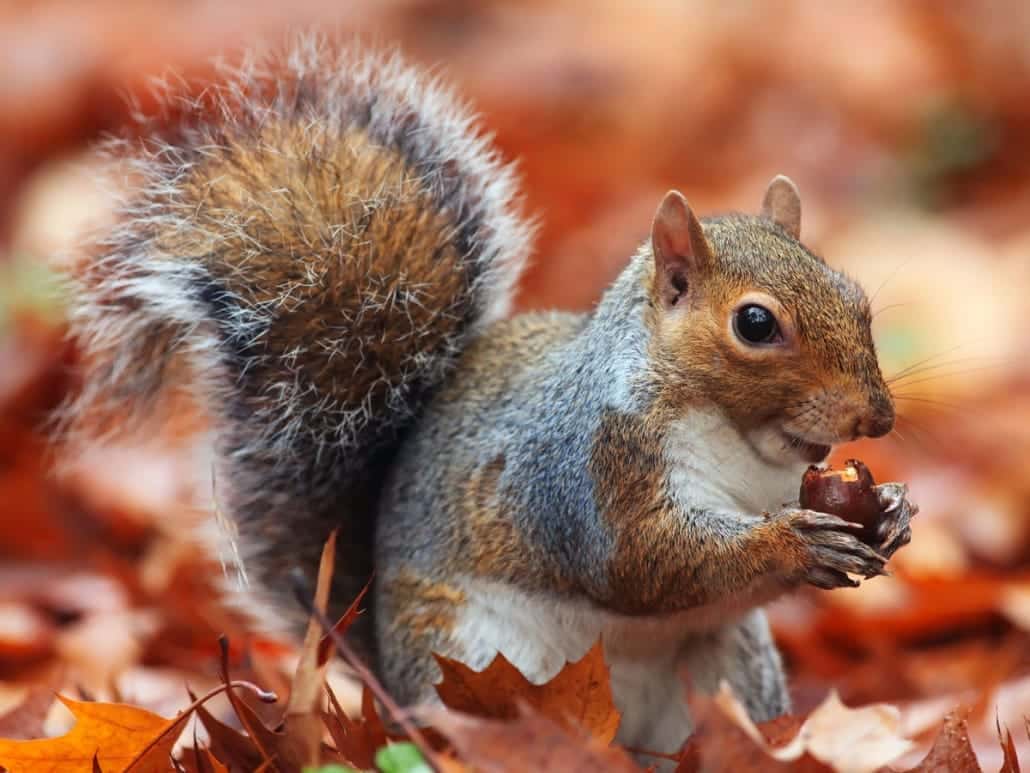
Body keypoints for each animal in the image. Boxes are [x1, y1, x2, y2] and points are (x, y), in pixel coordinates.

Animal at [62, 38, 915, 755]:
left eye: (855, 297)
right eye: (755, 323)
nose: (876, 417)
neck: (743, 444)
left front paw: (892, 512)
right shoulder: (585, 471)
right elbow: (642, 561)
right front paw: (792, 543)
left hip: (729, 669)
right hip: (472, 660)